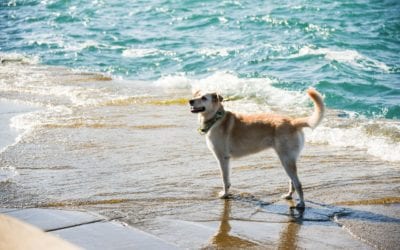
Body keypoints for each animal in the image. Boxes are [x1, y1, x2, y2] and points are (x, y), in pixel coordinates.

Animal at [189, 89, 324, 208]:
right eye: (196, 95)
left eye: (203, 98)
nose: (190, 101)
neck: (216, 118)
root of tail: (293, 122)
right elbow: (227, 180)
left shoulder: (223, 158)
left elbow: (225, 179)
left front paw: (225, 194)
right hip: (287, 160)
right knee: (292, 182)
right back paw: (289, 196)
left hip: (286, 160)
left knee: (298, 184)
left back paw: (301, 203)